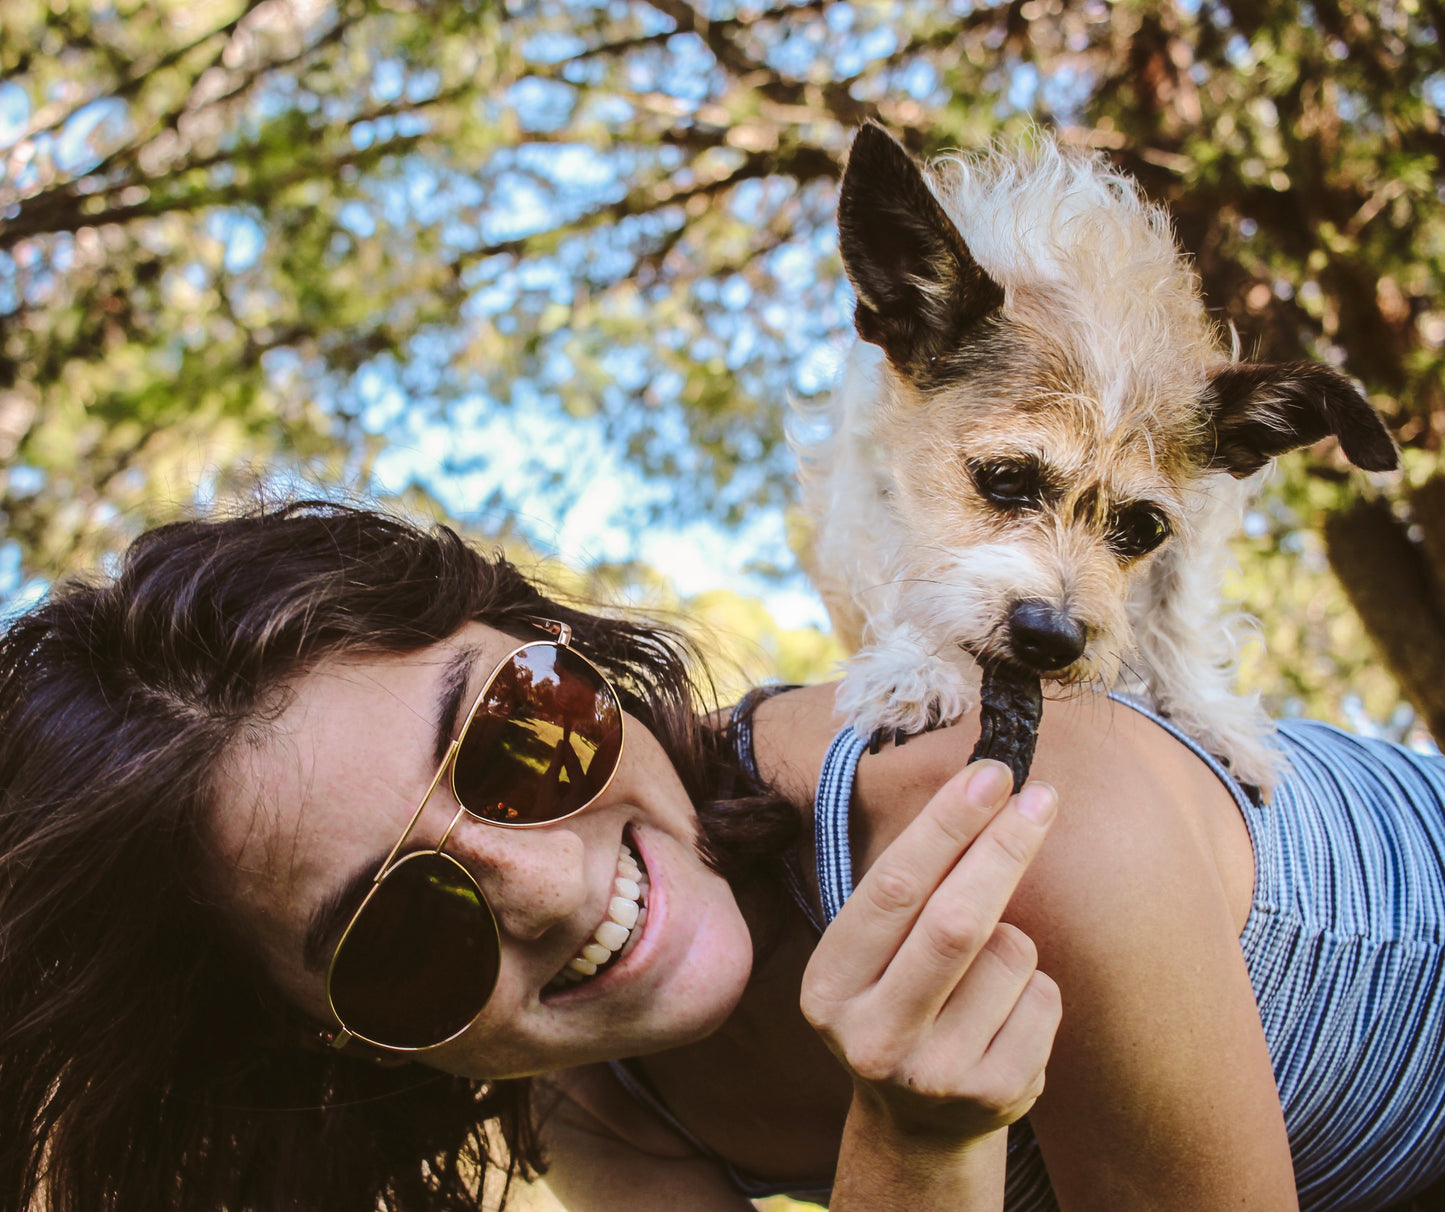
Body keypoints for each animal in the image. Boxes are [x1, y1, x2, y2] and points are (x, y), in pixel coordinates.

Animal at [797, 127, 1392, 791]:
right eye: (1005, 479)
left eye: (1143, 529)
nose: (1051, 640)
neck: (1102, 306)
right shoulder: (864, 469)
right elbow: (893, 566)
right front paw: (911, 668)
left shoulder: (1203, 517)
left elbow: (1180, 612)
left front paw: (1205, 713)